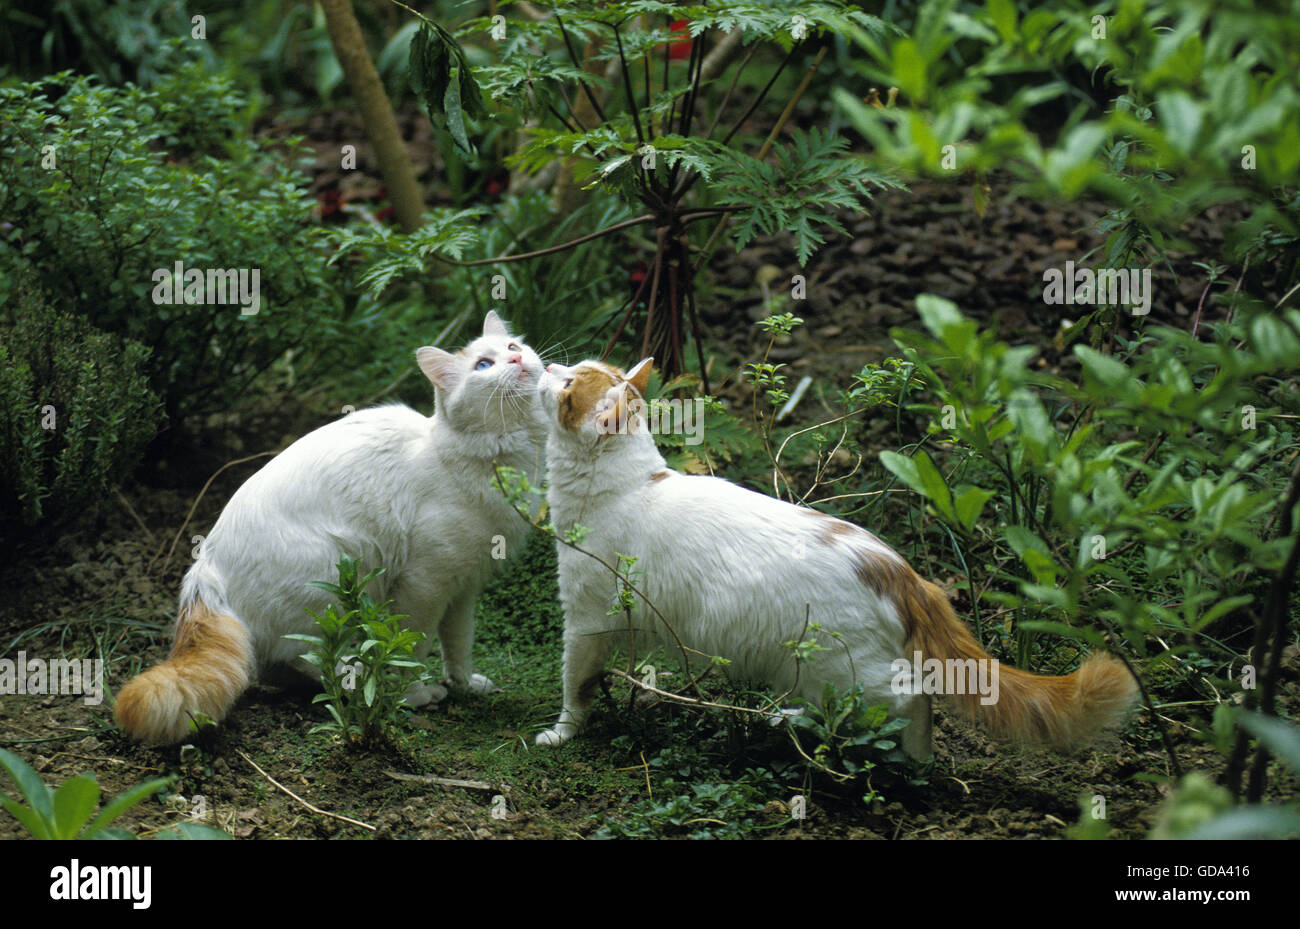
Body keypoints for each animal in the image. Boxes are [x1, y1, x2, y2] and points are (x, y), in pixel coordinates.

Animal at [118, 310, 548, 743]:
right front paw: (410, 693)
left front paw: (465, 685)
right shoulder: (425, 585)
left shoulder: (463, 588)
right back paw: (357, 683)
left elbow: (458, 646)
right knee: (310, 656)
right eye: (483, 366)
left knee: (275, 664)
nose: (515, 360)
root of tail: (204, 568)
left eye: (512, 347)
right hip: (335, 579)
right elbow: (410, 648)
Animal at [533, 358, 1133, 758]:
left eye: (567, 383)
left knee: (914, 699)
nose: (548, 362)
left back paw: (914, 762)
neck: (629, 484)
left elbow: (573, 686)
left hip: (844, 671)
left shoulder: (584, 621)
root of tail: (902, 570)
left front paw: (563, 732)